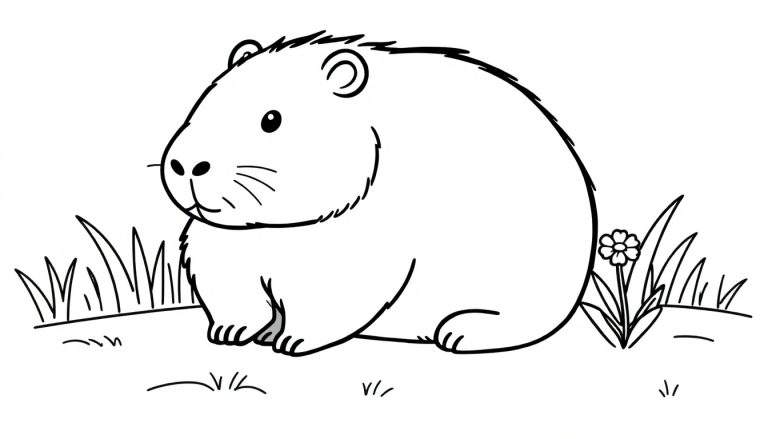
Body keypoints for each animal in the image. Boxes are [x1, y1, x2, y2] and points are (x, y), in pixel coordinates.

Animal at [160, 31, 597, 355]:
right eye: (202, 104)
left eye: (272, 119)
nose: (187, 166)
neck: (273, 230)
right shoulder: (223, 247)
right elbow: (234, 294)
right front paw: (230, 332)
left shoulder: (357, 250)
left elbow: (330, 300)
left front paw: (293, 340)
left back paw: (460, 331)